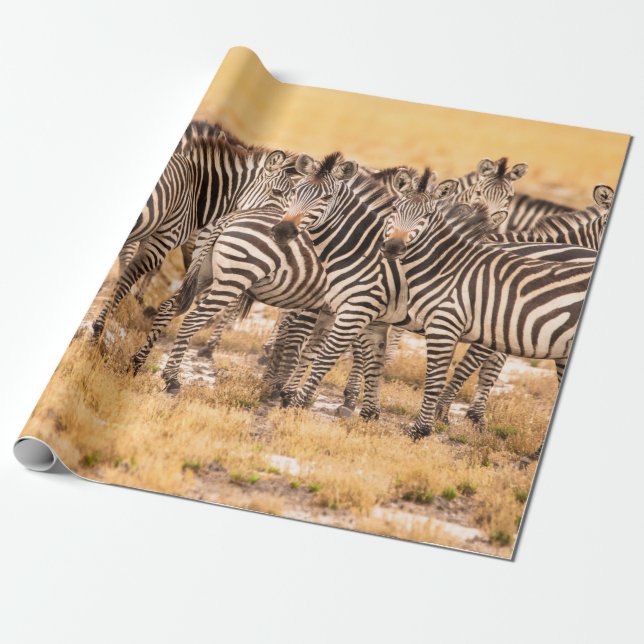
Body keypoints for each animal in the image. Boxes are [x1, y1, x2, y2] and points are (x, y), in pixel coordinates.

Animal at [91, 129, 294, 339]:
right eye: (277, 192)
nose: (284, 230)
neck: (196, 194)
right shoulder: (158, 244)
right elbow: (125, 279)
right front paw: (99, 328)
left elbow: (124, 272)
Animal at [381, 193, 595, 438]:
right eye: (394, 208)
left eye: (426, 215)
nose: (393, 247)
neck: (448, 267)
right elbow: (473, 370)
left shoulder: (455, 324)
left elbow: (440, 376)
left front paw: (423, 428)